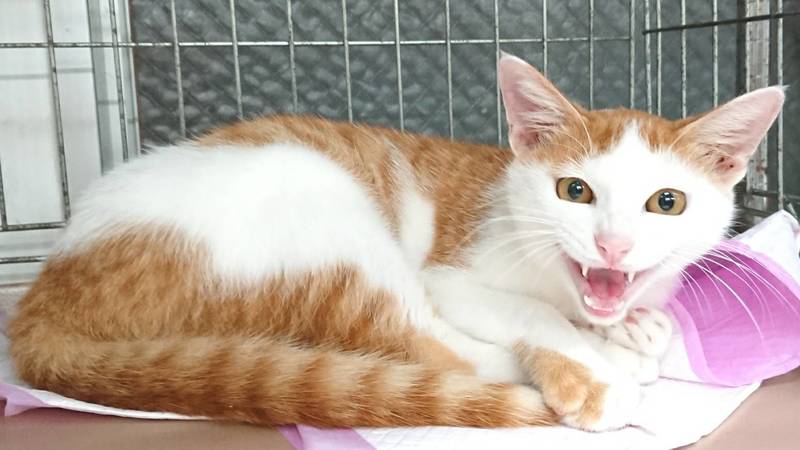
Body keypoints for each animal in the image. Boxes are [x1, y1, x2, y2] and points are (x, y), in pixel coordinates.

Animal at [8, 53, 783, 431]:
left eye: (667, 203)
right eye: (574, 191)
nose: (615, 247)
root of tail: (51, 287)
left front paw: (636, 323)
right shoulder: (455, 272)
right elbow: (526, 312)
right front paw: (596, 358)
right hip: (314, 208)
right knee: (418, 340)